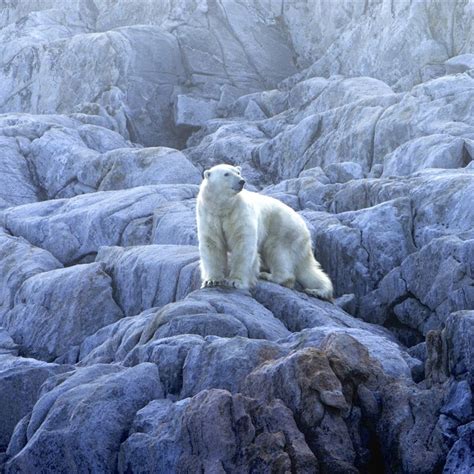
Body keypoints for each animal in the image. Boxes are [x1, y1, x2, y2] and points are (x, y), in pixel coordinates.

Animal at [196, 163, 334, 300]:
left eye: (238, 172)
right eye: (226, 174)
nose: (241, 181)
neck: (223, 207)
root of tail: (306, 231)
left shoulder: (239, 213)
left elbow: (242, 244)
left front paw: (235, 281)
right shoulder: (209, 215)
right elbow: (212, 245)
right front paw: (212, 280)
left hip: (283, 230)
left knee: (277, 252)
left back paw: (270, 276)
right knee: (306, 269)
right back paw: (317, 290)